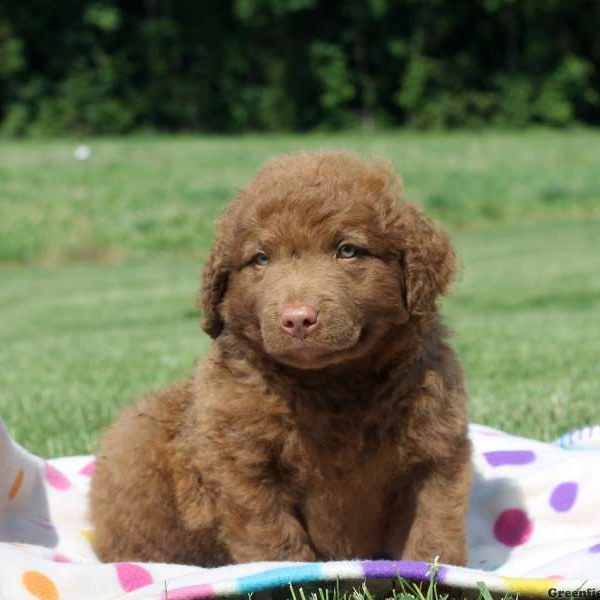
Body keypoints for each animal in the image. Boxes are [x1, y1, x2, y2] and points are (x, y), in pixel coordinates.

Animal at [90, 150, 474, 568]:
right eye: (261, 258)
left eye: (348, 250)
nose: (297, 318)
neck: (334, 385)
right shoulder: (242, 463)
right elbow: (272, 537)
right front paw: (286, 575)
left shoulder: (437, 451)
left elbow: (433, 529)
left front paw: (430, 573)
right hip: (136, 449)